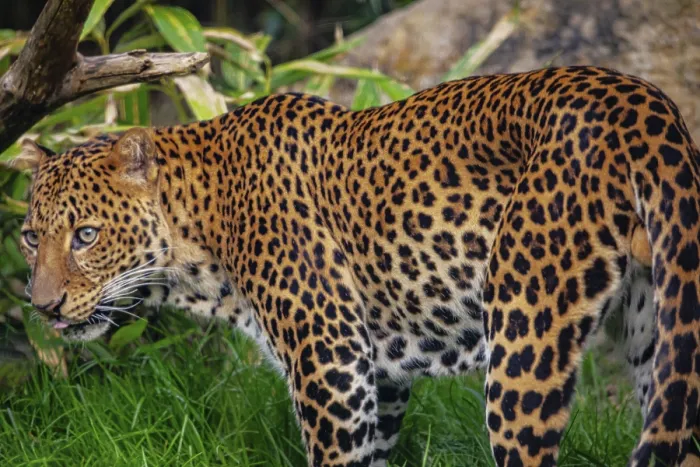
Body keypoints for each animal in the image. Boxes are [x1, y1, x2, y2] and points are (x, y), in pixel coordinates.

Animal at [14, 65, 700, 467]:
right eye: (29, 237)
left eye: (86, 235)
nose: (43, 307)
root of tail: (645, 102)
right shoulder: (381, 380)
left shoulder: (330, 363)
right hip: (663, 327)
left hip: (524, 335)